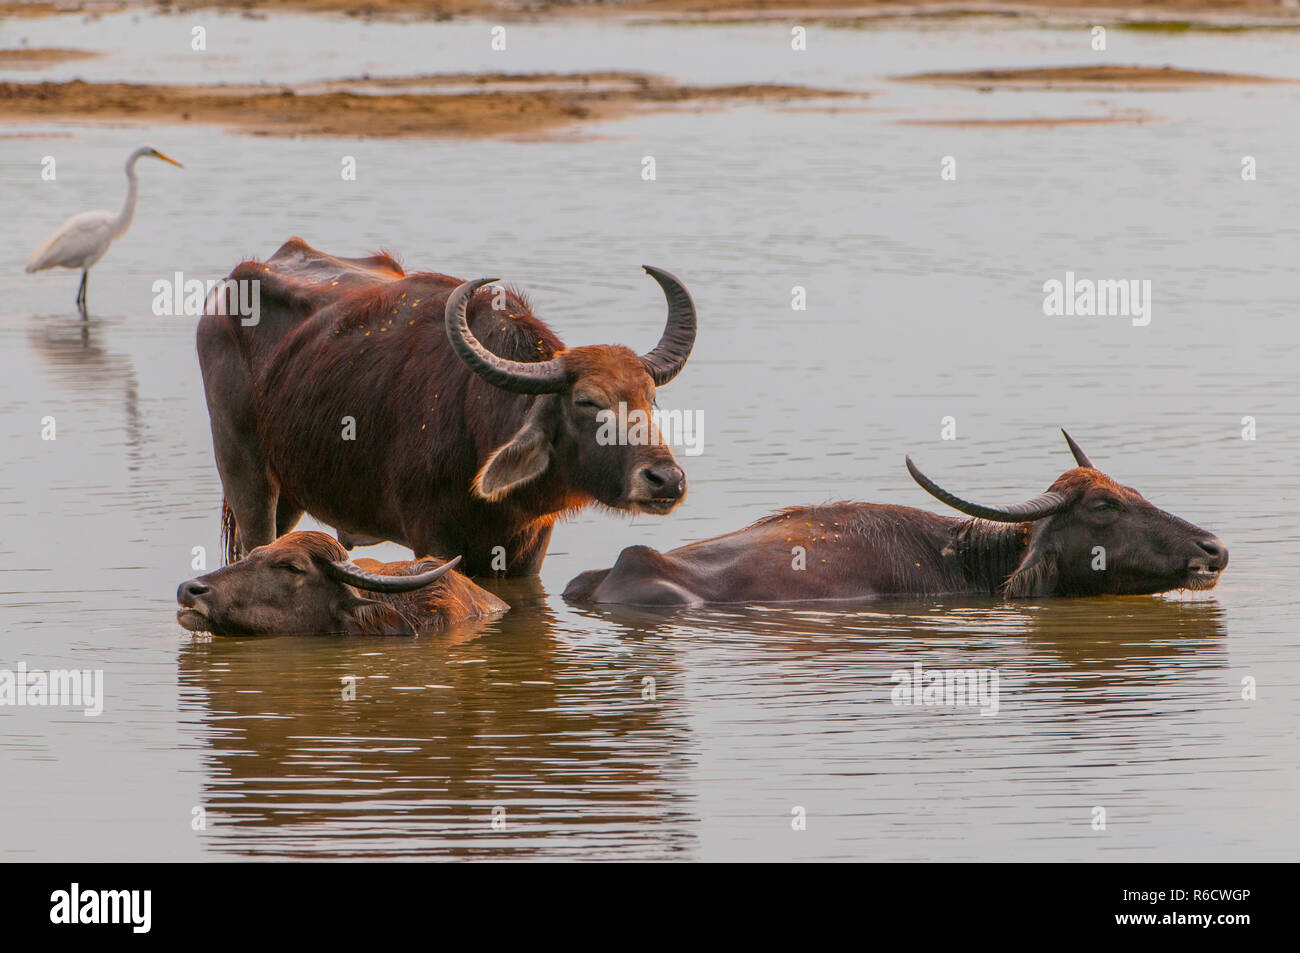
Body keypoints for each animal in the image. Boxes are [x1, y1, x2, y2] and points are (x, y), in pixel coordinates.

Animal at [196, 241, 696, 577]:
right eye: (587, 402)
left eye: (650, 399)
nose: (666, 480)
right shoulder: (434, 541)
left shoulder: (530, 550)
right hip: (244, 474)